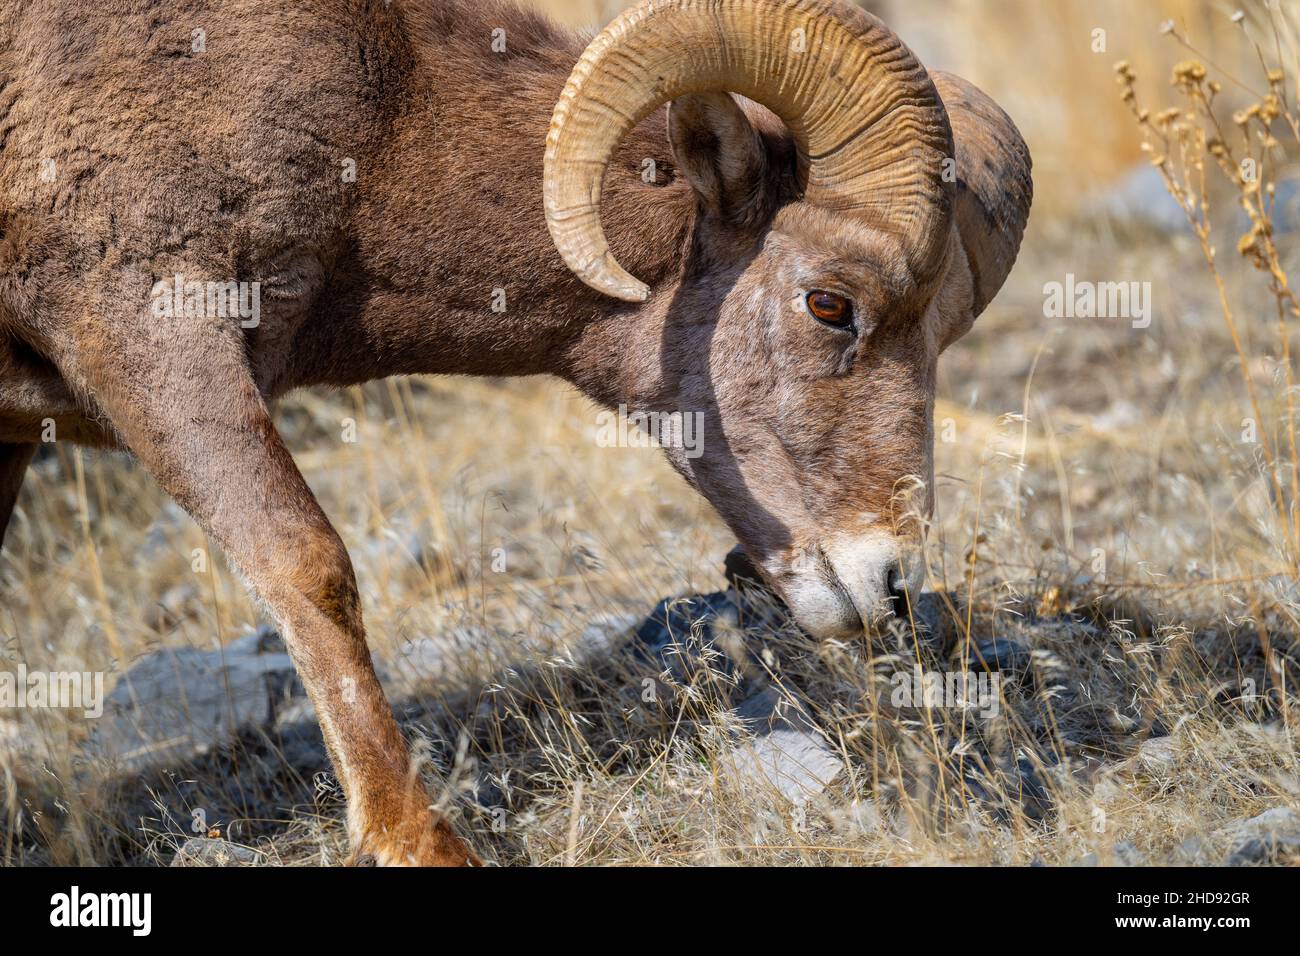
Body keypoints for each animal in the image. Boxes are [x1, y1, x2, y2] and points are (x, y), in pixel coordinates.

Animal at [2, 0, 1034, 868]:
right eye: (829, 303)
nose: (887, 586)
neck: (383, 120)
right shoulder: (154, 338)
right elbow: (309, 565)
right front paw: (415, 841)